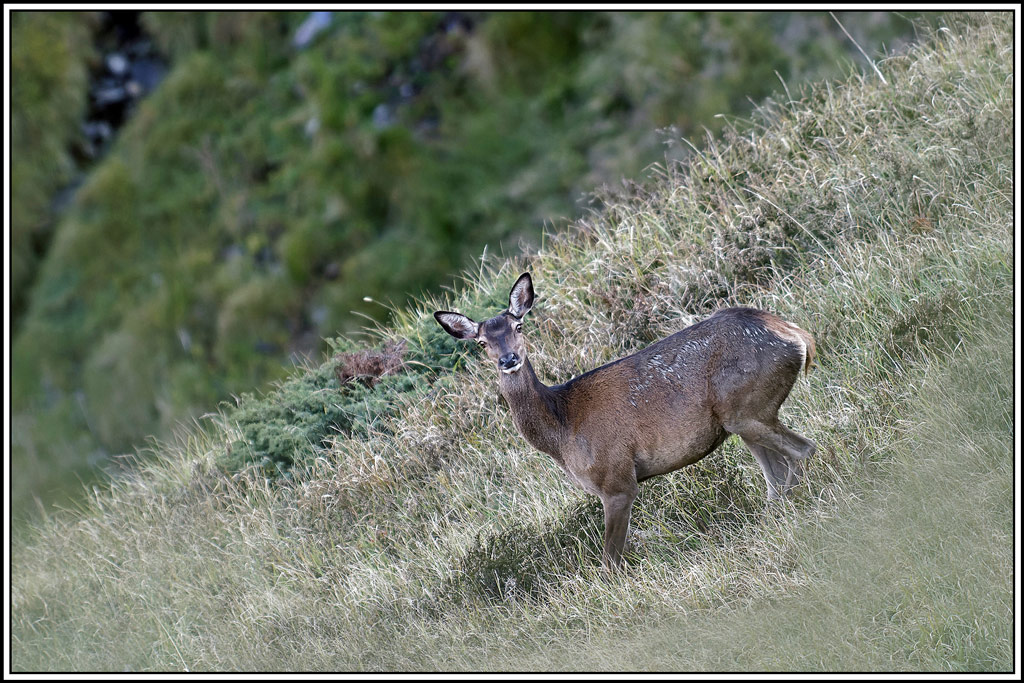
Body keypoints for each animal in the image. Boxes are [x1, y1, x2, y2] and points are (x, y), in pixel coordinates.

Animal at [432, 272, 815, 573]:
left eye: (519, 325)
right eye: (482, 342)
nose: (508, 359)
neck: (562, 431)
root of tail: (797, 335)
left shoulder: (616, 478)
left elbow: (610, 561)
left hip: (747, 406)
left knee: (803, 451)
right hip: (741, 418)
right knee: (776, 477)